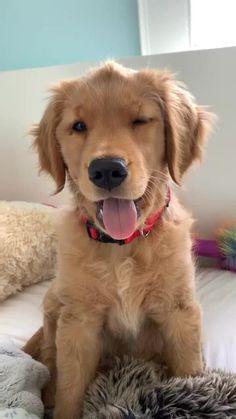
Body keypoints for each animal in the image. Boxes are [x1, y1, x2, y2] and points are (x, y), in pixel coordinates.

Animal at [23, 60, 212, 418]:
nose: (107, 169)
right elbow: (70, 388)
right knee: (50, 359)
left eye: (139, 120)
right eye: (78, 126)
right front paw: (61, 403)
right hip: (55, 301)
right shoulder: (78, 321)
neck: (122, 247)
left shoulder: (180, 312)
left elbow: (190, 370)